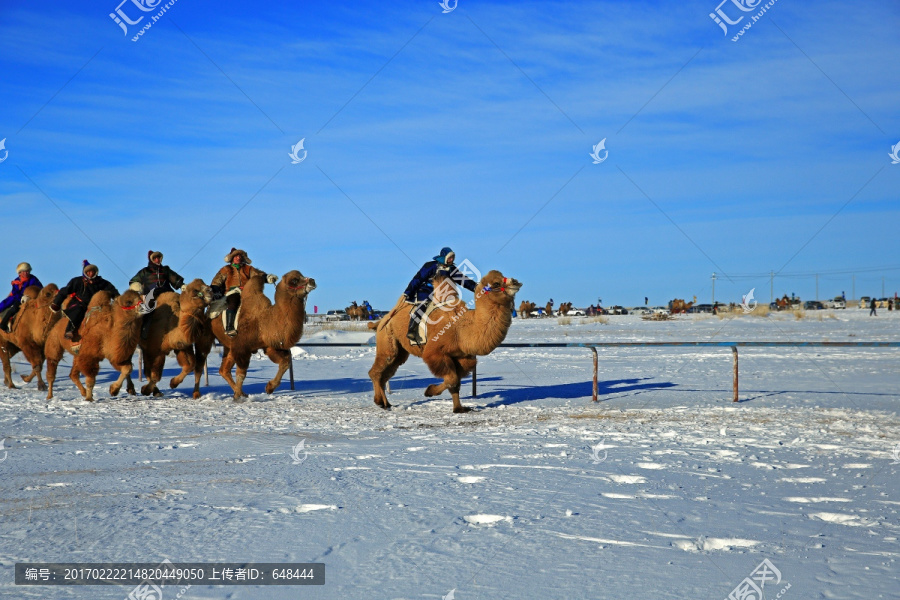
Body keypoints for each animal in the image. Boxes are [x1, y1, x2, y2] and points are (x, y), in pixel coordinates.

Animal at [214, 270, 318, 400]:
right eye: (294, 280)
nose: (312, 281)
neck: (263, 322)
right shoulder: (242, 346)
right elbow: (241, 373)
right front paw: (237, 397)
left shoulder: (269, 346)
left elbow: (285, 362)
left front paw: (269, 388)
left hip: (228, 346)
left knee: (223, 370)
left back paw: (243, 393)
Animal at [366, 270, 520, 412]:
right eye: (496, 283)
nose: (515, 281)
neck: (462, 328)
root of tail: (382, 321)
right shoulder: (435, 353)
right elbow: (451, 379)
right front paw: (429, 391)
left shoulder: (462, 357)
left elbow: (455, 382)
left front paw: (459, 409)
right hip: (387, 342)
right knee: (377, 371)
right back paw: (380, 402)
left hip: (400, 352)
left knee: (386, 374)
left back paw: (386, 403)